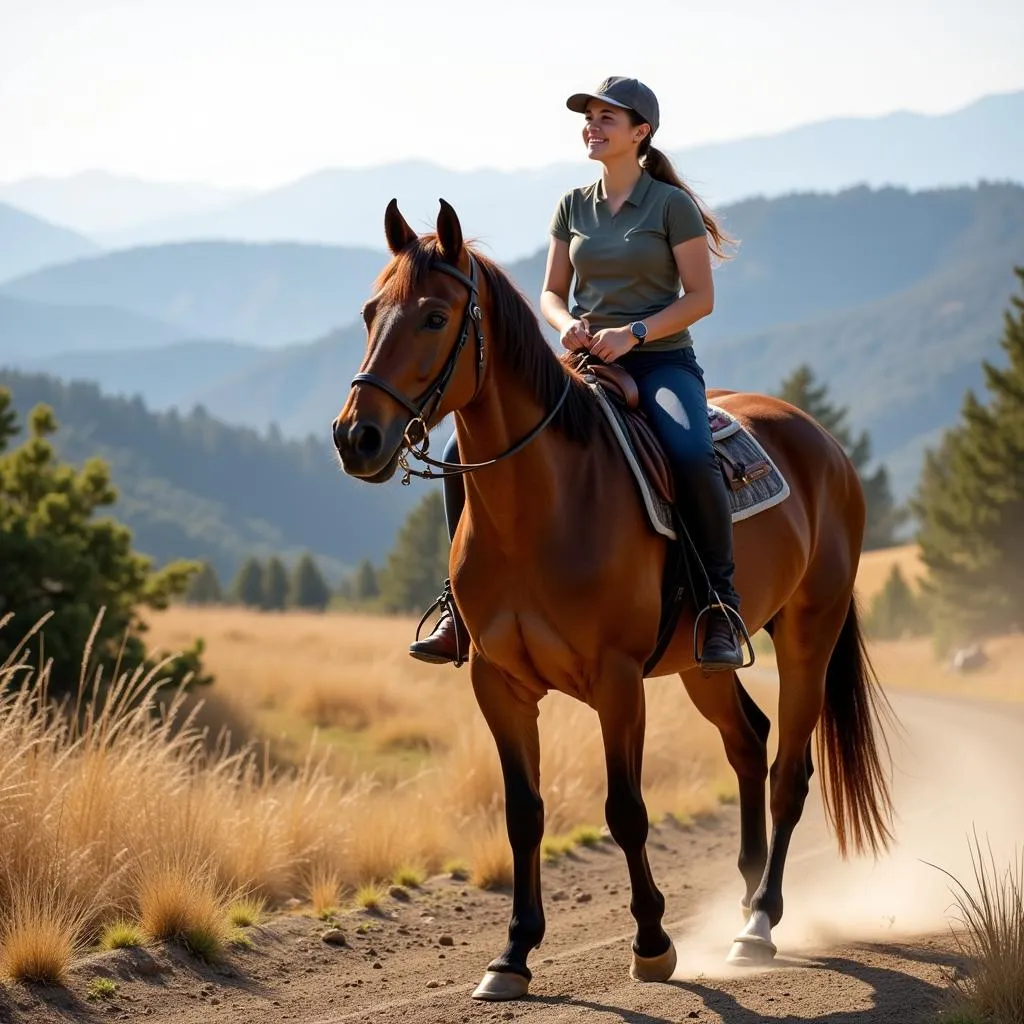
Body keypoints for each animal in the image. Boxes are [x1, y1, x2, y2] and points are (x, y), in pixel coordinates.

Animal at [331, 197, 892, 999]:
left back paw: (758, 924)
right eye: (370, 312)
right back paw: (745, 894)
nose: (356, 438)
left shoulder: (618, 681)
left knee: (788, 771)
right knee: (748, 741)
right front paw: (512, 954)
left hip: (808, 636)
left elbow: (625, 810)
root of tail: (826, 446)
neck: (542, 506)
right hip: (702, 662)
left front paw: (652, 943)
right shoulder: (496, 683)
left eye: (436, 317)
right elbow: (523, 815)